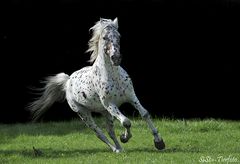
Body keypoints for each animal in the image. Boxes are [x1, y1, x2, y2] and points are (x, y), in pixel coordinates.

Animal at [27, 18, 164, 152]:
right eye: (104, 37)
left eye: (119, 36)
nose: (116, 58)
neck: (114, 76)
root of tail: (68, 81)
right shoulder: (110, 104)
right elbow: (126, 122)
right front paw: (125, 137)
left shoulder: (131, 97)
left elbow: (144, 114)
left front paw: (159, 142)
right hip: (84, 114)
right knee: (99, 133)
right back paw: (115, 149)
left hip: (105, 112)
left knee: (110, 131)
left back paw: (120, 149)